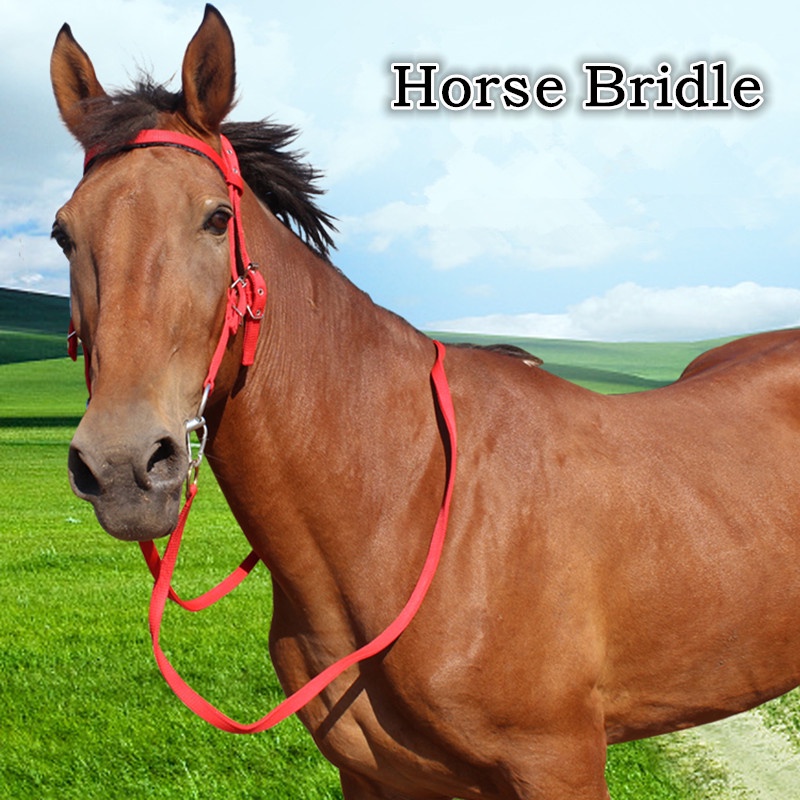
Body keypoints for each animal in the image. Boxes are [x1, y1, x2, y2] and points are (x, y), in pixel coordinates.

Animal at [50, 5, 800, 799]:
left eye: (217, 219)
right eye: (63, 232)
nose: (124, 466)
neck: (402, 513)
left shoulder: (556, 760)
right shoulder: (371, 774)